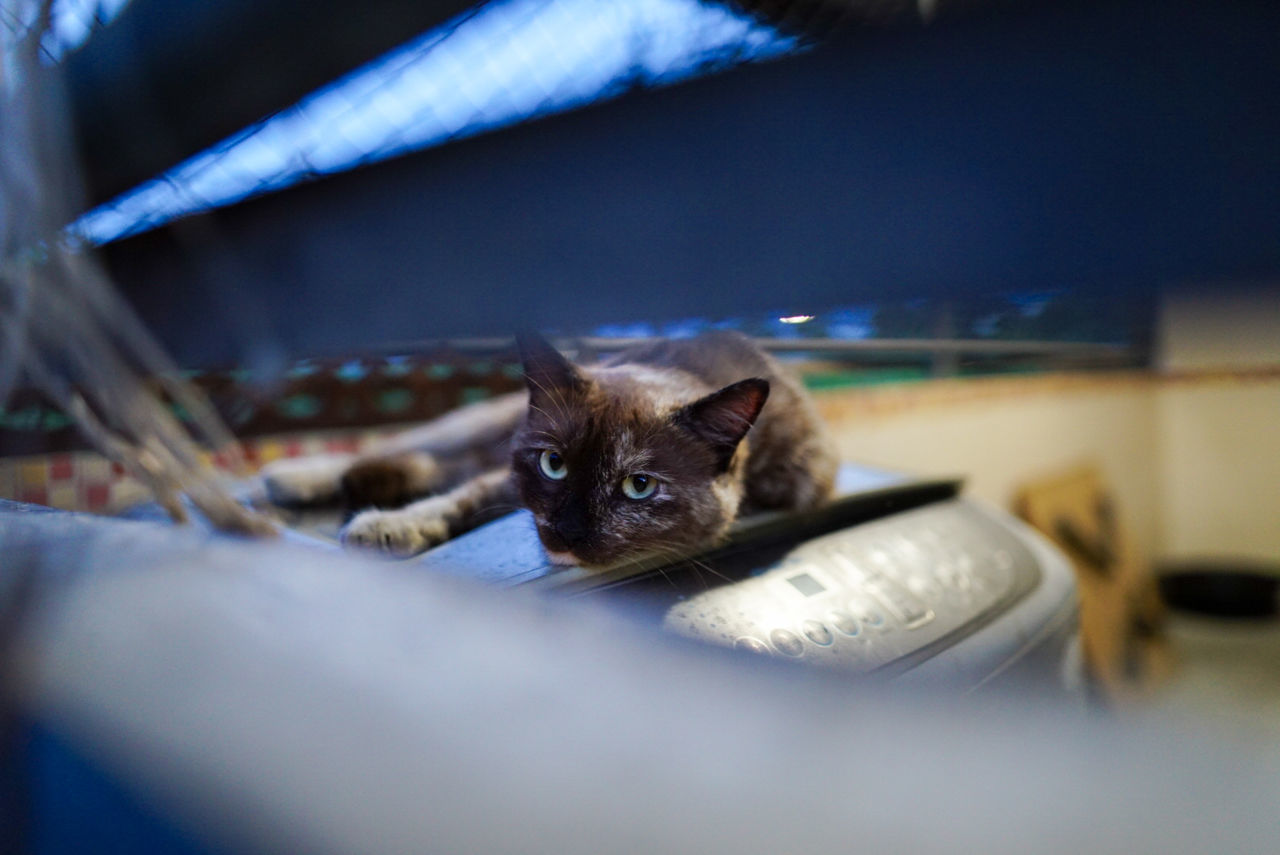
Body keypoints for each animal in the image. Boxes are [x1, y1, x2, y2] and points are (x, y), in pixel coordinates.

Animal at [261, 332, 839, 568]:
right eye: (553, 464)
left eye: (640, 486)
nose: (568, 530)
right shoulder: (506, 474)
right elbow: (459, 499)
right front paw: (392, 525)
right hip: (472, 424)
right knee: (422, 448)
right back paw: (295, 476)